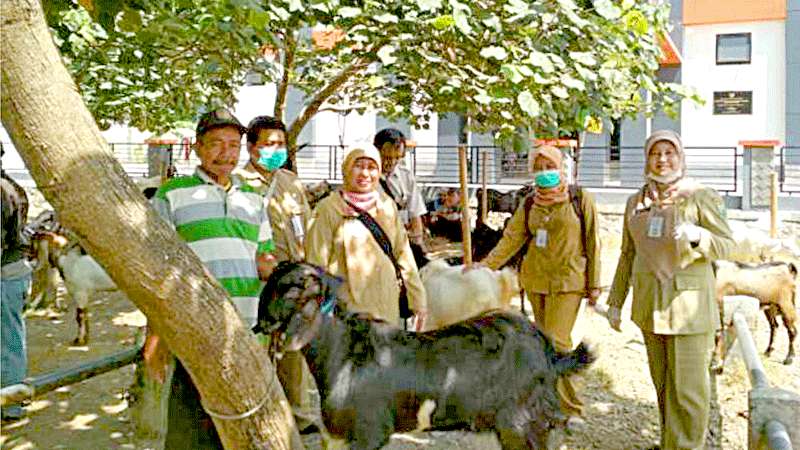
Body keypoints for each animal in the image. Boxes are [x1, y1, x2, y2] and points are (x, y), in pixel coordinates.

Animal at [256, 262, 592, 448]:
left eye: (290, 289)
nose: (261, 324)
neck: (343, 355)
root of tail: (550, 353)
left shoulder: (369, 431)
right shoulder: (336, 435)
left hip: (521, 422)